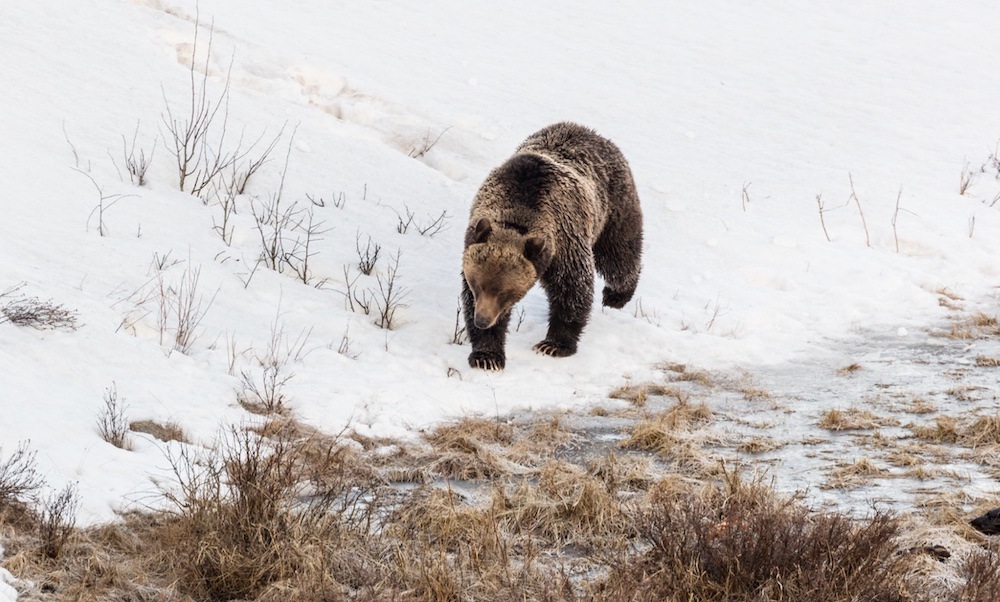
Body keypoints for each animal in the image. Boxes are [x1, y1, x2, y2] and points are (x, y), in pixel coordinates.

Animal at [461, 122, 643, 370]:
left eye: (505, 292)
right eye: (477, 285)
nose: (483, 320)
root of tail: (592, 132)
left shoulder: (565, 240)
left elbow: (572, 288)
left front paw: (553, 344)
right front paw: (487, 355)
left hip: (613, 206)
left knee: (619, 253)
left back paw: (616, 295)